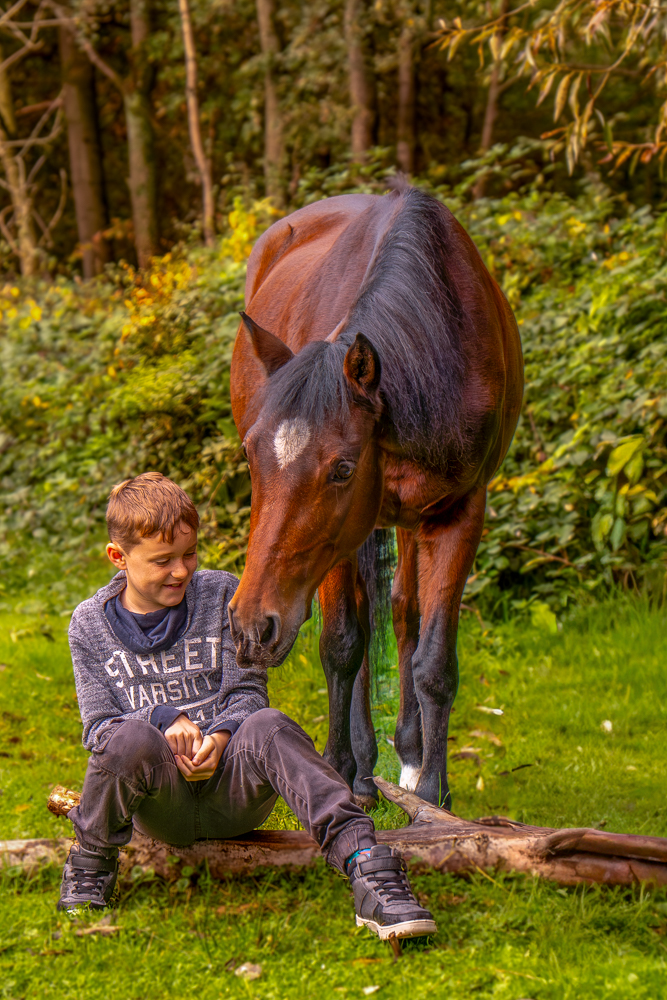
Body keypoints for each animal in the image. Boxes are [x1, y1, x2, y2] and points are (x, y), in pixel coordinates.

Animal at [228, 180, 523, 807]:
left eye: (341, 469)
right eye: (250, 454)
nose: (249, 627)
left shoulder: (461, 511)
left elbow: (432, 658)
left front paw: (433, 792)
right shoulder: (338, 538)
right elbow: (342, 645)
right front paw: (339, 770)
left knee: (404, 613)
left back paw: (404, 755)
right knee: (361, 634)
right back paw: (362, 769)